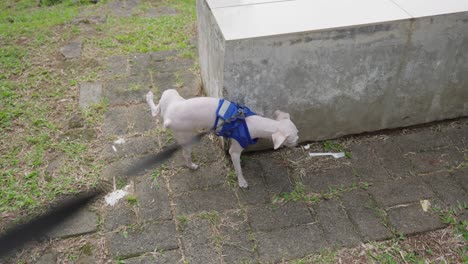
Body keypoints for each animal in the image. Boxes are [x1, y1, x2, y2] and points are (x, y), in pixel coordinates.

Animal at [146, 89, 300, 189]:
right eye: (292, 139)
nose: (299, 142)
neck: (251, 122)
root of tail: (168, 118)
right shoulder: (235, 150)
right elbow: (238, 167)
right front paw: (242, 182)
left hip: (170, 94)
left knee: (155, 111)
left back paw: (149, 96)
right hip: (186, 136)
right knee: (185, 154)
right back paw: (192, 165)